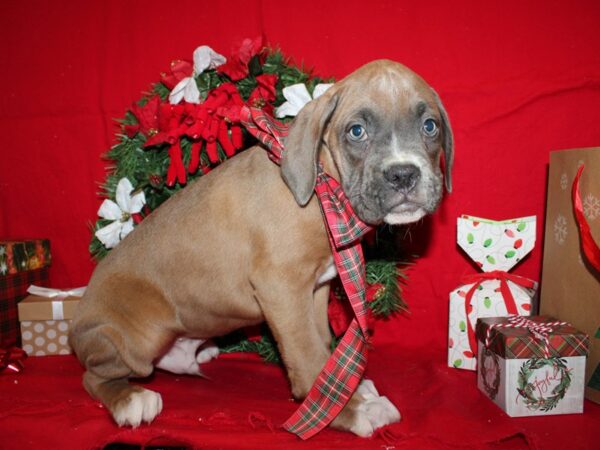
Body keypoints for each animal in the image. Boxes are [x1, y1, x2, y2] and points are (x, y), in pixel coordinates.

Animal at [70, 59, 452, 436]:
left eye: (430, 126)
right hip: (137, 338)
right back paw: (130, 399)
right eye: (356, 131)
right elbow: (308, 355)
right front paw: (348, 410)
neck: (324, 190)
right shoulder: (282, 290)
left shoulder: (315, 290)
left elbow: (322, 343)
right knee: (93, 376)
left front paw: (349, 390)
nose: (403, 175)